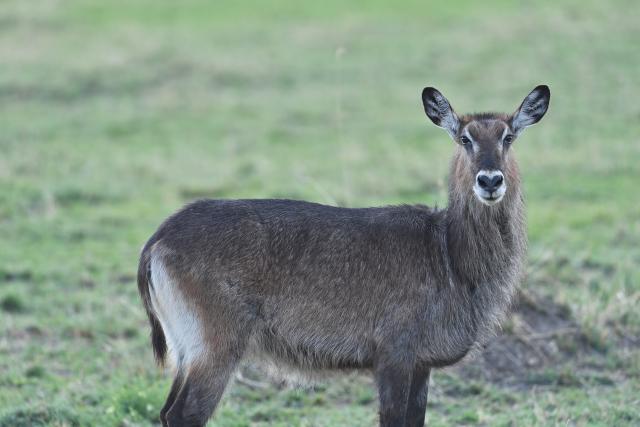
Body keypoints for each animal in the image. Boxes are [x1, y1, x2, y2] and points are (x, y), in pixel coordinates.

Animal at [137, 85, 550, 426]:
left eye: (508, 136)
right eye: (464, 138)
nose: (490, 180)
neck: (449, 253)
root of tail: (159, 237)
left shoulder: (421, 364)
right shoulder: (394, 357)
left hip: (187, 350)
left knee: (166, 411)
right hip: (215, 346)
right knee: (184, 415)